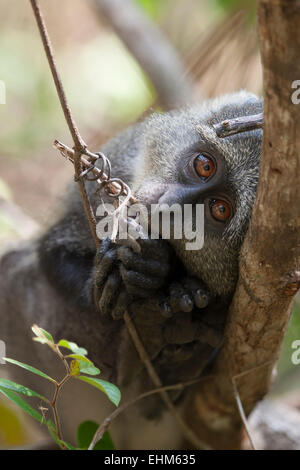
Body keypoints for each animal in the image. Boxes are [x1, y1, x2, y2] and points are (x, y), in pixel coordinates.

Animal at [0, 91, 262, 448]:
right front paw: (142, 277)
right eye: (204, 165)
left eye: (220, 209)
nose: (167, 204)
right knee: (14, 272)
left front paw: (163, 277)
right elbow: (52, 252)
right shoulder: (116, 165)